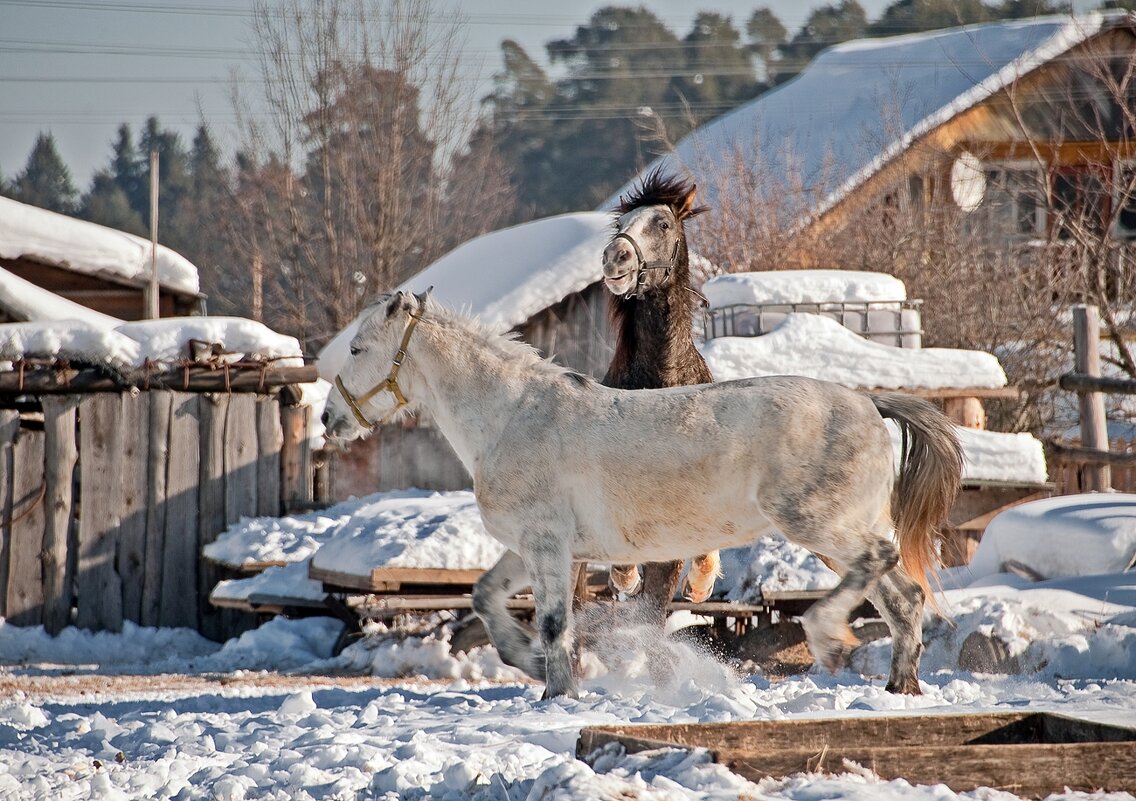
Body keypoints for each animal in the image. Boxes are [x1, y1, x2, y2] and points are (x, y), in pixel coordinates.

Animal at [324, 290, 963, 695]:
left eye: (356, 350)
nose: (330, 420)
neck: (510, 416)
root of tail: (868, 403)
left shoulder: (548, 546)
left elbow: (555, 624)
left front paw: (556, 693)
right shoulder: (540, 548)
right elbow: (487, 597)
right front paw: (529, 664)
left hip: (814, 523)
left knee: (880, 568)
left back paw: (828, 640)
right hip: (834, 537)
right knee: (903, 597)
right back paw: (900, 687)